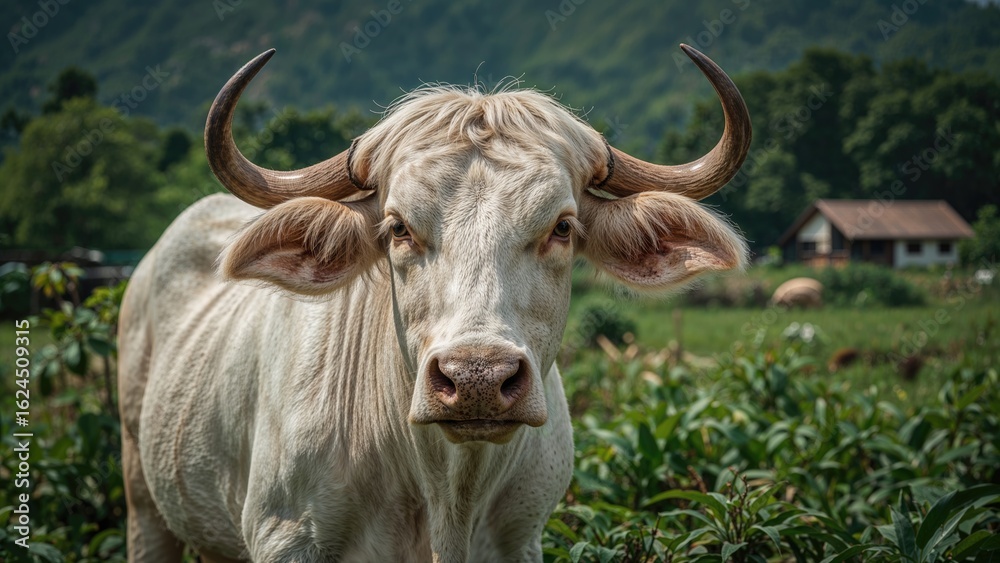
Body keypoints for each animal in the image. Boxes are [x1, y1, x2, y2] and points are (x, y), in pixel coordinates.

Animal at [118, 44, 751, 562]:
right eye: (398, 227)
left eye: (562, 227)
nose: (477, 378)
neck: (448, 493)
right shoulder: (286, 536)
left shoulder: (521, 539)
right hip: (141, 496)